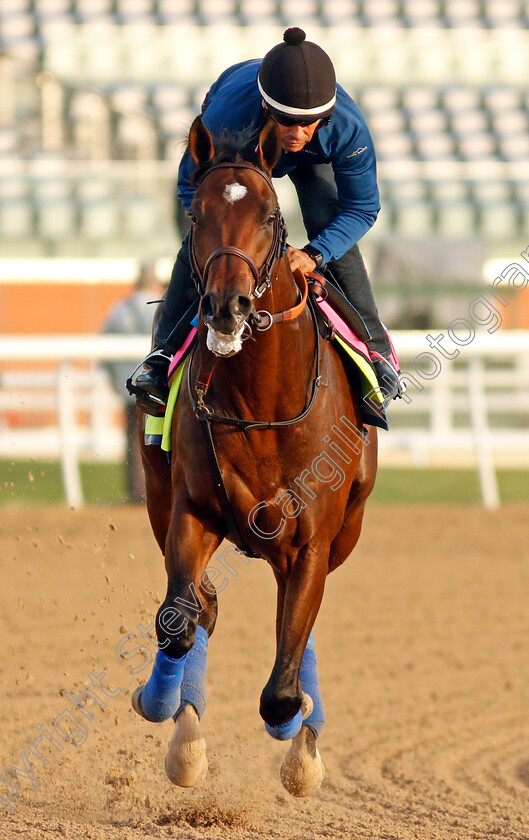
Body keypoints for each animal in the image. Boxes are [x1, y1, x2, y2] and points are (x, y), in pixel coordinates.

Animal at [134, 115, 378, 796]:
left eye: (270, 215)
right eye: (196, 217)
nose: (227, 305)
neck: (263, 401)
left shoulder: (314, 539)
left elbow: (281, 685)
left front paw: (299, 741)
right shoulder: (190, 510)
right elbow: (177, 621)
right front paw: (173, 727)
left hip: (341, 534)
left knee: (295, 627)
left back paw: (305, 738)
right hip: (160, 500)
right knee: (196, 610)